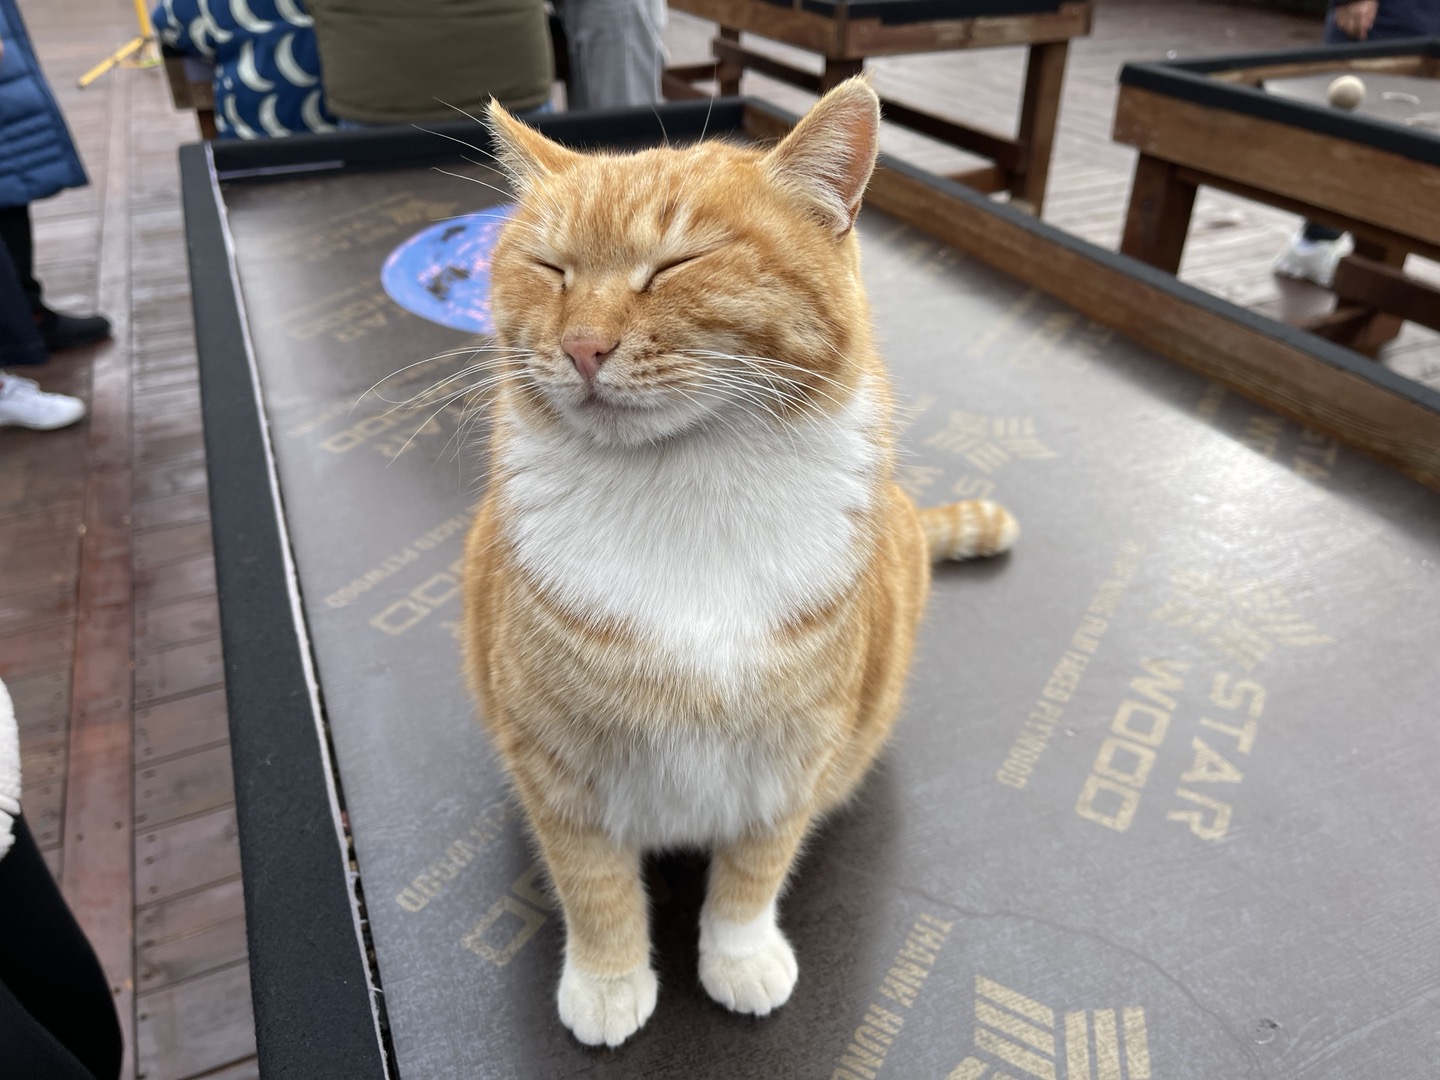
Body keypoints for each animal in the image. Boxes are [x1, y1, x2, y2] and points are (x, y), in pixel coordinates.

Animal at [460, 76, 1018, 1048]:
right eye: (551, 268)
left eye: (676, 265)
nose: (582, 346)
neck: (686, 486)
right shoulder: (554, 763)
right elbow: (593, 885)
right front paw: (609, 977)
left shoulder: (796, 753)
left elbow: (756, 870)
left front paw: (740, 953)